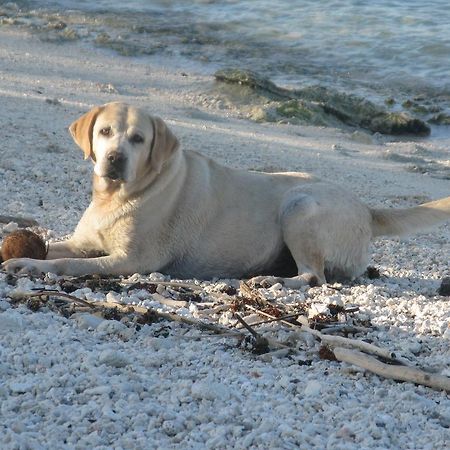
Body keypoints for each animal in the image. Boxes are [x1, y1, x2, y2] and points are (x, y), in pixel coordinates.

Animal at [3, 103, 450, 288]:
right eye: (105, 132)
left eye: (139, 139)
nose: (114, 159)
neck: (118, 196)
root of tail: (365, 208)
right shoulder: (83, 242)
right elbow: (57, 249)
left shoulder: (131, 260)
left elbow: (66, 265)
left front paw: (28, 264)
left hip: (301, 207)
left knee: (315, 276)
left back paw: (274, 280)